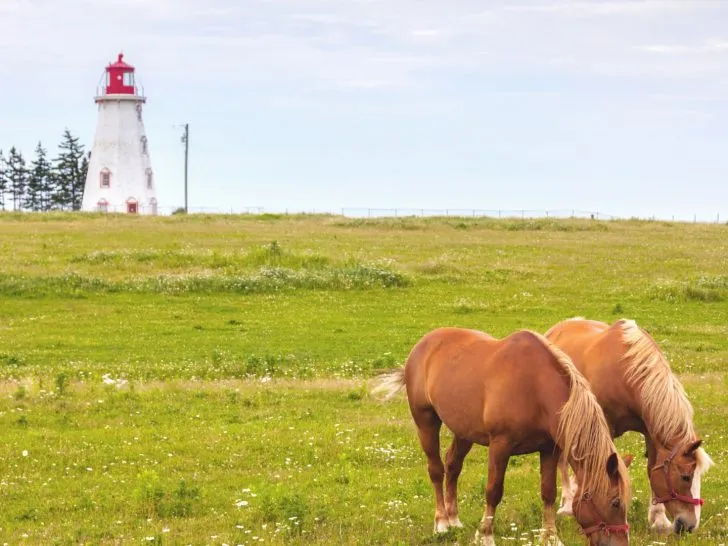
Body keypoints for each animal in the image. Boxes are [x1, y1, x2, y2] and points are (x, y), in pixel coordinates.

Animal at [372, 328, 628, 544]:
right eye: (615, 503)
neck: (534, 387)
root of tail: (423, 345)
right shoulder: (500, 446)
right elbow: (493, 492)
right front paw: (485, 535)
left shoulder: (548, 449)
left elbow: (548, 492)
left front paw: (550, 537)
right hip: (426, 422)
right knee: (436, 470)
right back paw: (442, 523)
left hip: (464, 432)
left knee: (452, 465)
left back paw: (454, 520)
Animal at [544, 316, 712, 532]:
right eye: (686, 477)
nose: (690, 525)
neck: (625, 372)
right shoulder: (604, 428)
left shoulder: (650, 431)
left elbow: (651, 468)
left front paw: (659, 519)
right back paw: (566, 503)